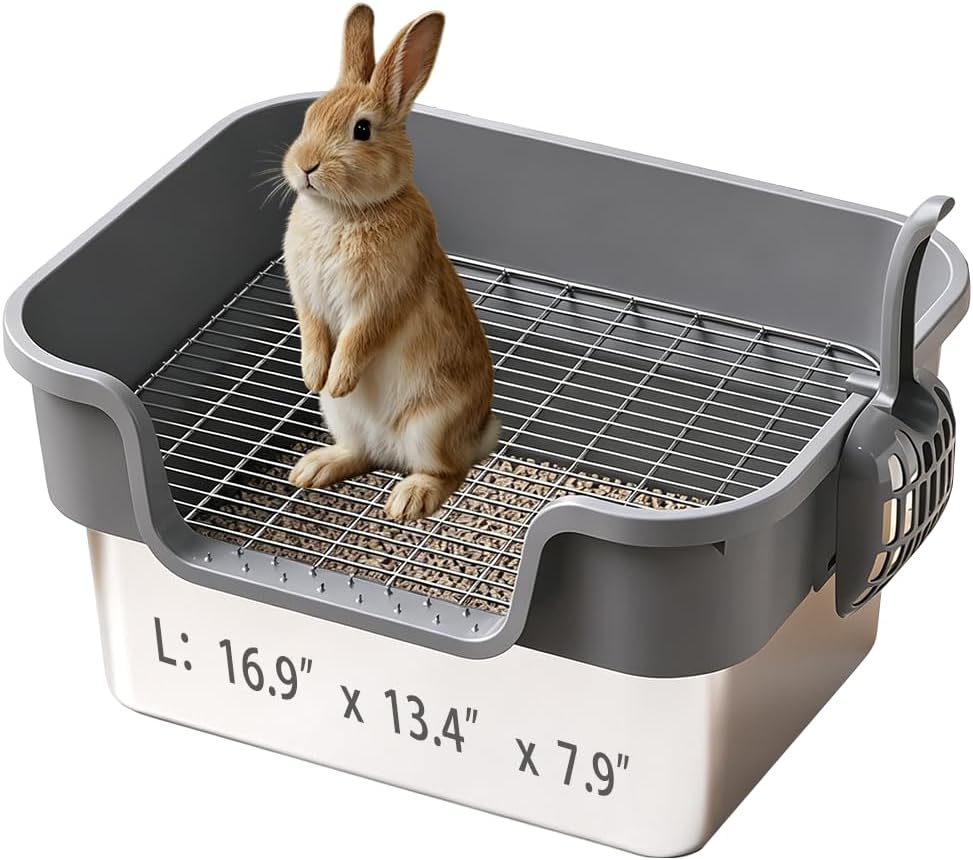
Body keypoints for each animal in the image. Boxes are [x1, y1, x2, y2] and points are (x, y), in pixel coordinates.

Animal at [282, 4, 499, 522]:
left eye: (361, 130)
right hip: (341, 418)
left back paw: (407, 501)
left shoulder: (383, 298)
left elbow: (361, 336)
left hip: (431, 425)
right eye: (308, 116)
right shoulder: (306, 297)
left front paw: (339, 377)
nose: (305, 165)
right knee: (360, 454)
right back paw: (312, 469)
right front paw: (314, 376)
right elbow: (314, 330)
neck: (346, 212)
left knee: (446, 472)